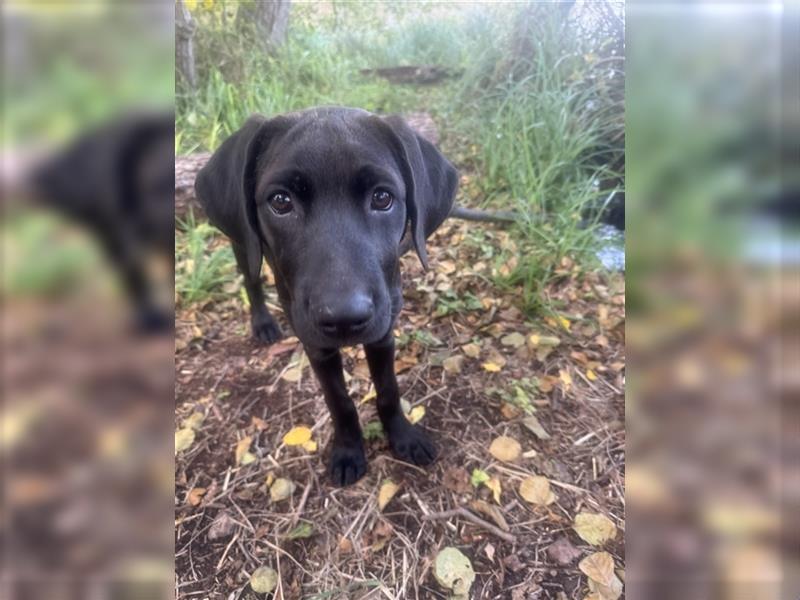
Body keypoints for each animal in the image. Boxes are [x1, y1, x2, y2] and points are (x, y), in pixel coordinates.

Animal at [195, 106, 456, 482]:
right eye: (280, 201)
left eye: (382, 198)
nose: (345, 317)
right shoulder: (316, 346)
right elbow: (340, 402)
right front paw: (348, 450)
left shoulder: (383, 334)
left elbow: (388, 389)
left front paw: (403, 436)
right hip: (243, 246)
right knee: (252, 282)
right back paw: (263, 323)